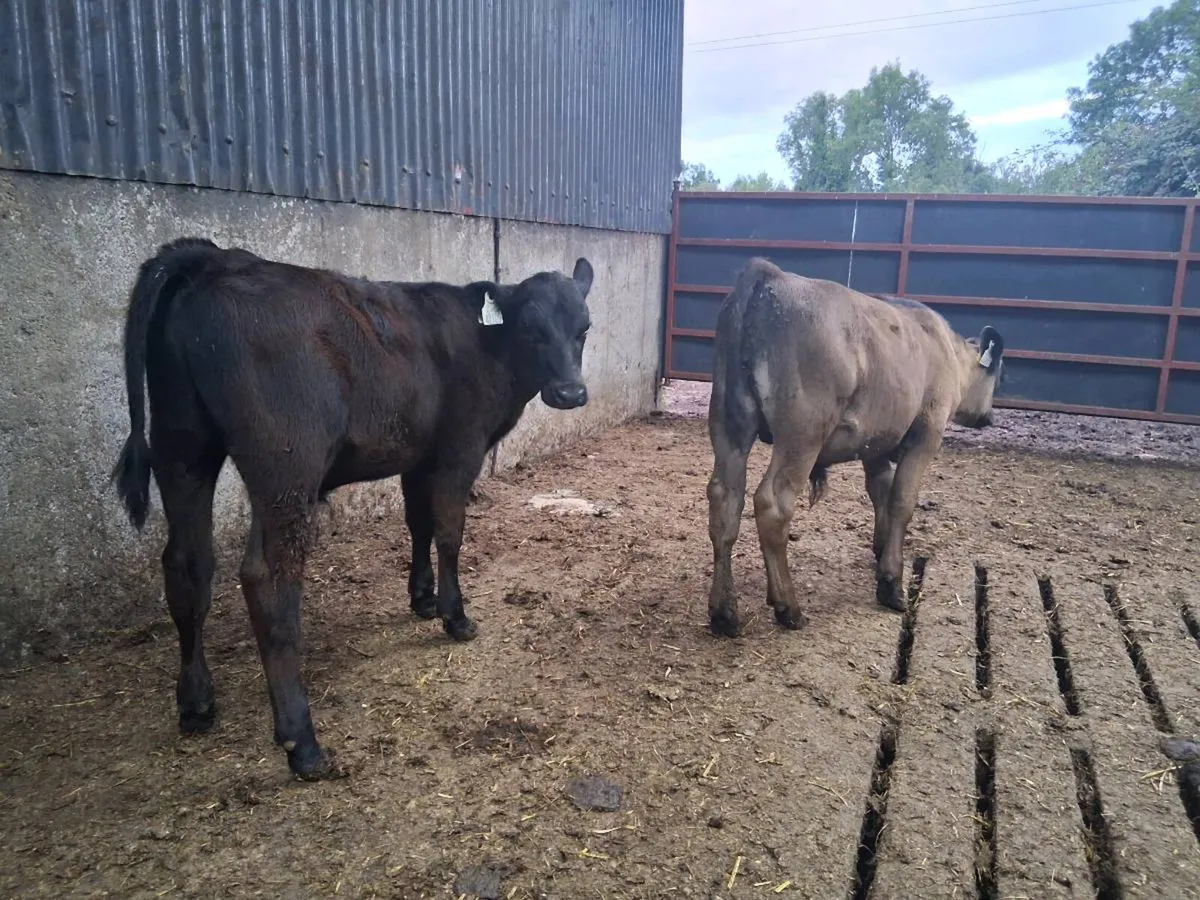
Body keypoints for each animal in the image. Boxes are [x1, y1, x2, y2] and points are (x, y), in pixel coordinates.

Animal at [110, 237, 594, 779]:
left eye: (584, 328)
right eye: (531, 328)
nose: (571, 392)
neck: (489, 345)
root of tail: (215, 260)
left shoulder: (416, 454)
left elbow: (417, 524)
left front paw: (422, 599)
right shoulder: (459, 448)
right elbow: (449, 532)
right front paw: (456, 616)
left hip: (181, 447)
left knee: (187, 565)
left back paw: (196, 702)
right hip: (287, 464)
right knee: (266, 577)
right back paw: (302, 742)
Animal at [705, 257, 1004, 638]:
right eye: (998, 376)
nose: (988, 418)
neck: (946, 350)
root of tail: (768, 277)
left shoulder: (875, 444)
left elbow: (880, 492)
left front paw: (880, 548)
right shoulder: (926, 434)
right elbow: (902, 500)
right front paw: (891, 583)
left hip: (730, 427)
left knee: (725, 500)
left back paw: (724, 612)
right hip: (802, 435)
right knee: (773, 505)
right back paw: (788, 607)